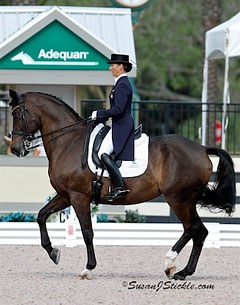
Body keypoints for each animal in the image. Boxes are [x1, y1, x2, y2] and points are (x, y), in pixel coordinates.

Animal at [7, 89, 236, 280]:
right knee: (198, 231)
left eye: (17, 116)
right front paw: (53, 252)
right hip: (184, 201)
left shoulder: (79, 196)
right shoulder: (65, 195)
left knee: (194, 229)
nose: (16, 149)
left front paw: (88, 269)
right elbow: (41, 216)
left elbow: (87, 232)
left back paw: (174, 265)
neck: (69, 141)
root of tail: (202, 149)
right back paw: (178, 269)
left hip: (178, 199)